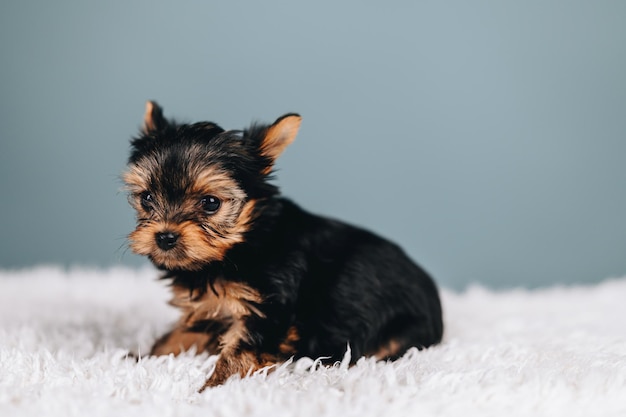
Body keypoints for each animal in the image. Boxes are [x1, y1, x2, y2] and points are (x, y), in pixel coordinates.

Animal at [123, 100, 444, 386]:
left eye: (211, 203)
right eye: (147, 198)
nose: (165, 236)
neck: (242, 246)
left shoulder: (268, 311)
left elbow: (238, 356)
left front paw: (211, 390)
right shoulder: (210, 310)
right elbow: (176, 338)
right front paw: (143, 358)